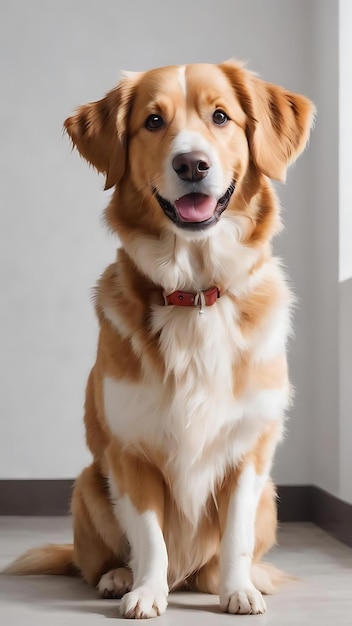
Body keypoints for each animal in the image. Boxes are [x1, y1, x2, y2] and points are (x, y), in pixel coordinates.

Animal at [4, 61, 314, 616]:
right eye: (152, 121)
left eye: (220, 116)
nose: (191, 164)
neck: (193, 294)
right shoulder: (131, 453)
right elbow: (150, 536)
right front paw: (147, 591)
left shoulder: (249, 454)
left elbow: (234, 536)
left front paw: (239, 590)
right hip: (88, 483)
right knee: (99, 561)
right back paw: (117, 577)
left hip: (270, 496)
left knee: (212, 564)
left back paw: (241, 579)